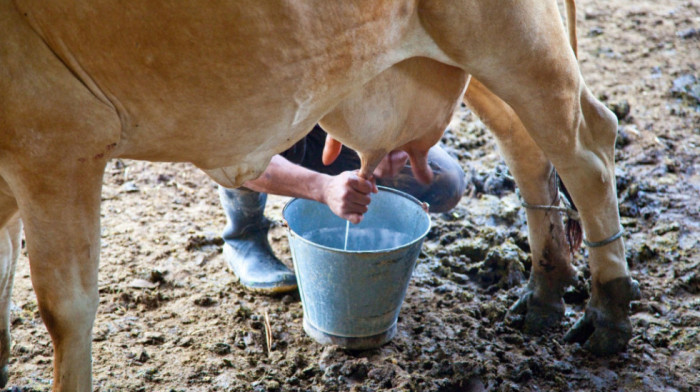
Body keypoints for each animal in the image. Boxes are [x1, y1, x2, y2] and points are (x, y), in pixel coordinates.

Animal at [0, 0, 640, 388]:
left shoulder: (56, 144)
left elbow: (64, 310)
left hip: (514, 37)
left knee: (588, 145)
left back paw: (606, 312)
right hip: (466, 53)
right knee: (527, 144)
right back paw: (543, 294)